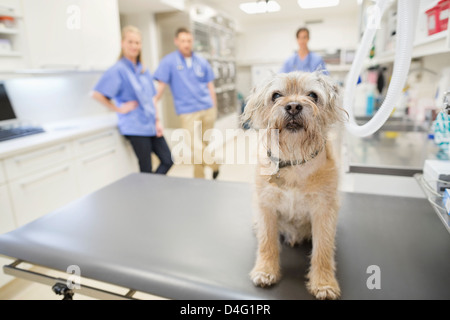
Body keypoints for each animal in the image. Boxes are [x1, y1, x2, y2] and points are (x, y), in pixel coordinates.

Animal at [241, 70, 346, 300]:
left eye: (313, 95)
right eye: (276, 95)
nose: (294, 106)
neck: (294, 160)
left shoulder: (324, 212)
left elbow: (323, 249)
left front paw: (324, 283)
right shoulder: (266, 208)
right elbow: (267, 242)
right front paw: (265, 270)